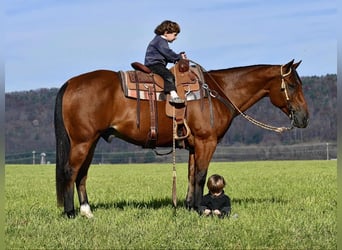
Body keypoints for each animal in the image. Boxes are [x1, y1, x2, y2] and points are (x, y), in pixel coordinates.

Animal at [54, 59, 308, 219]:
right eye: (291, 85)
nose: (304, 117)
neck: (219, 92)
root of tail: (70, 83)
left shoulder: (195, 146)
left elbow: (191, 175)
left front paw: (189, 206)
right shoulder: (207, 142)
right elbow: (201, 175)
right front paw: (199, 209)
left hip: (92, 142)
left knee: (82, 175)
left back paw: (87, 211)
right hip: (82, 142)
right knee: (71, 172)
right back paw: (70, 212)